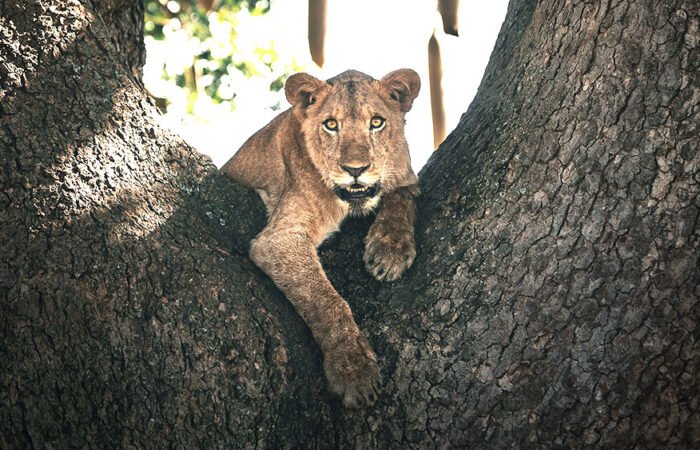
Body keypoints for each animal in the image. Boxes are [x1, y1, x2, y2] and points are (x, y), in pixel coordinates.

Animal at [221, 69, 418, 408]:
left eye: (376, 122)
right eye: (331, 124)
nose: (355, 170)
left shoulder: (407, 178)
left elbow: (401, 197)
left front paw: (390, 251)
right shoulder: (280, 238)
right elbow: (326, 299)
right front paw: (353, 369)